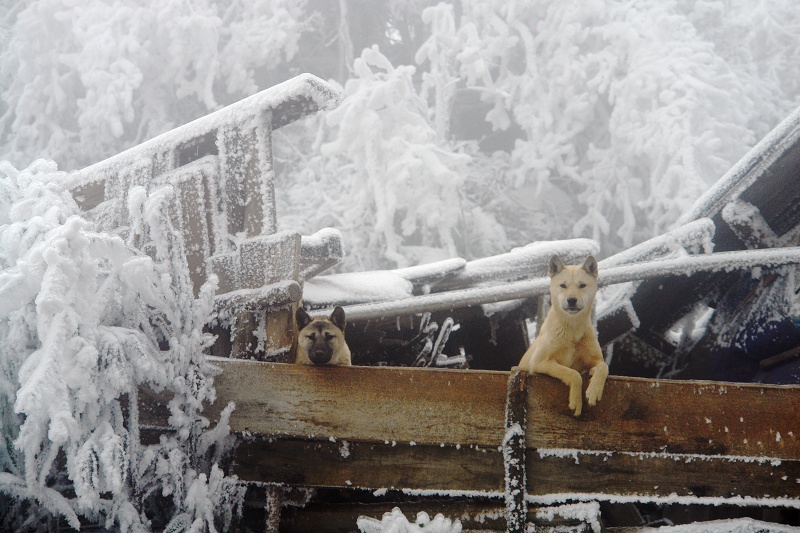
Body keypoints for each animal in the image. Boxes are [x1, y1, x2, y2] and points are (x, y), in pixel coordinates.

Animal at [520, 254, 608, 416]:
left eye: (582, 285)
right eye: (563, 285)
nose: (571, 300)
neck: (572, 330)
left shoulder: (596, 361)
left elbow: (603, 367)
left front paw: (593, 391)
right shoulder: (540, 362)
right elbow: (573, 374)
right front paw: (576, 401)